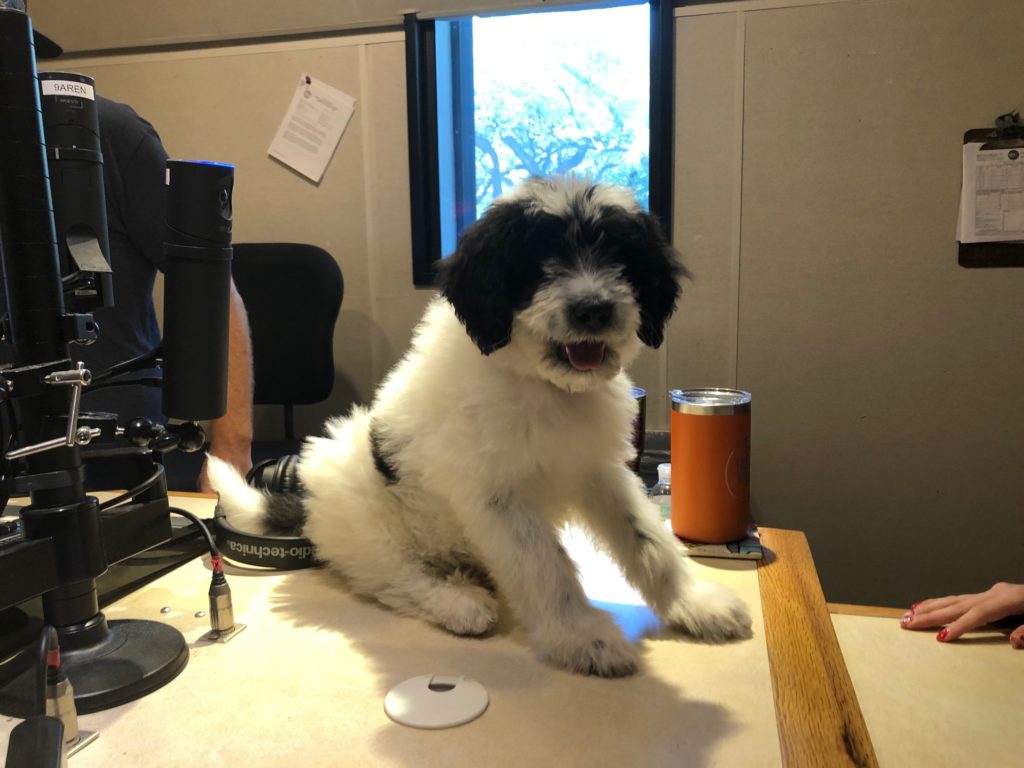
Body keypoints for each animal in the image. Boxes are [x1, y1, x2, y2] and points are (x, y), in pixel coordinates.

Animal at [207, 177, 753, 675]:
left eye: (621, 257)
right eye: (537, 263)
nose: (594, 308)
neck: (541, 384)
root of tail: (309, 497)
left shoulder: (598, 470)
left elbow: (647, 540)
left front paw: (695, 602)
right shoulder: (495, 494)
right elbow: (544, 564)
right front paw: (582, 638)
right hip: (368, 526)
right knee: (391, 577)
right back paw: (458, 603)